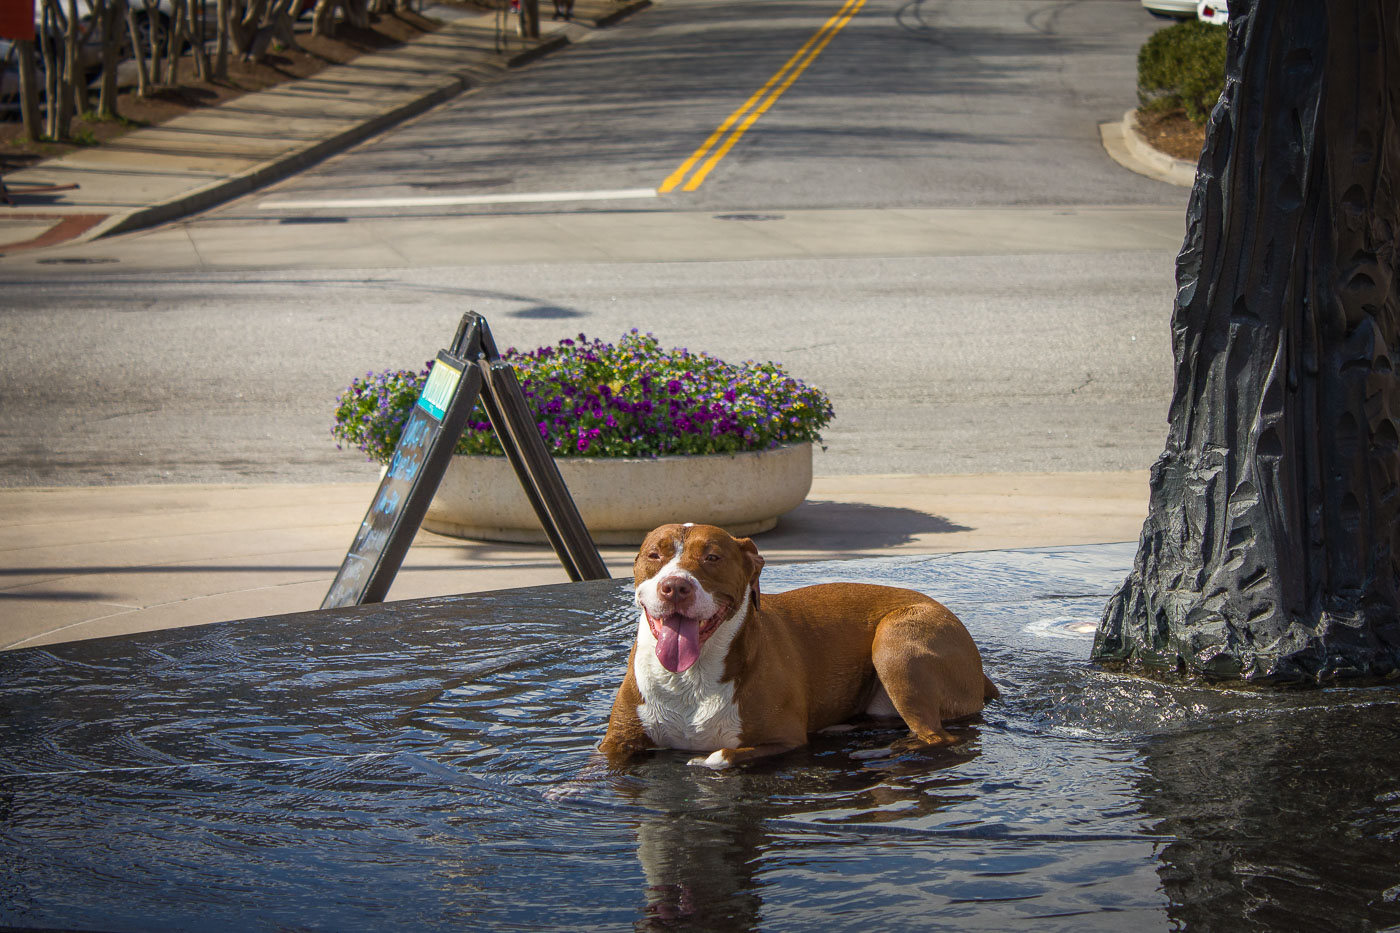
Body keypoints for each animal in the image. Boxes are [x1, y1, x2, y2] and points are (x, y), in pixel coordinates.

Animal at [596, 518, 1002, 767]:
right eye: (654, 555)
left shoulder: (784, 740)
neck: (688, 677)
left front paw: (704, 760)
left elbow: (722, 754)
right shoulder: (614, 743)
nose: (675, 586)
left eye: (712, 557)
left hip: (897, 644)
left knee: (936, 737)